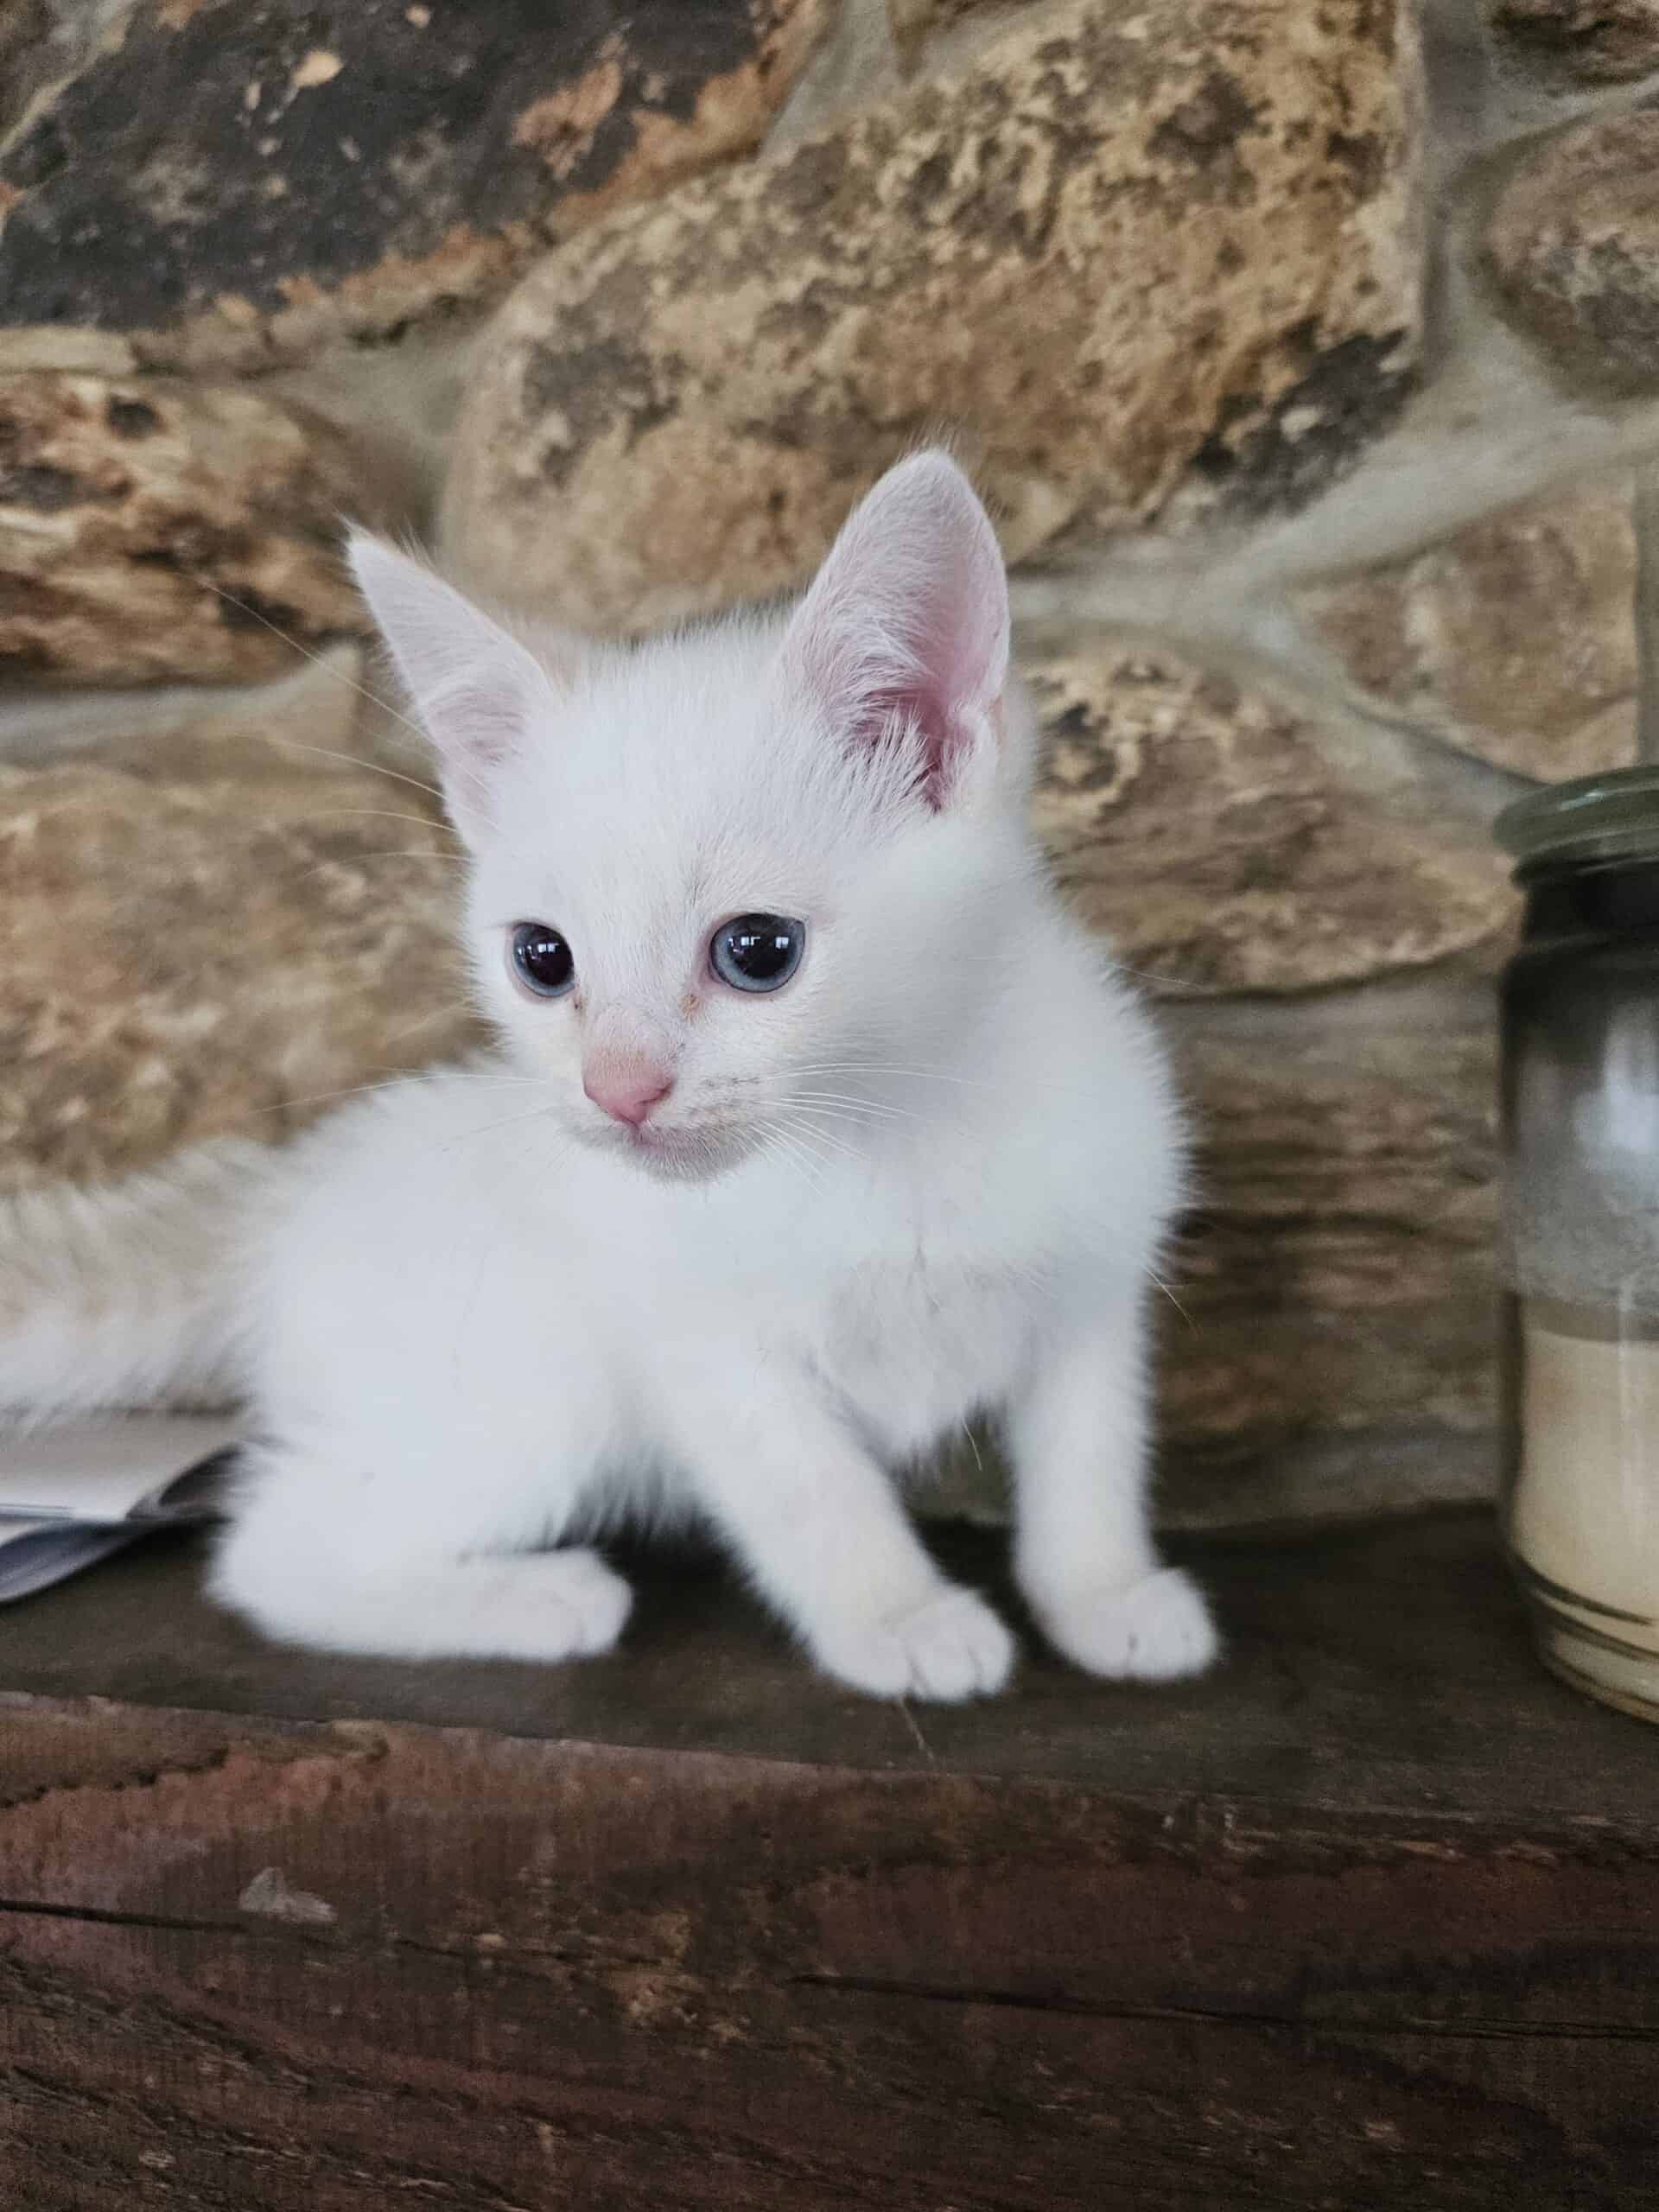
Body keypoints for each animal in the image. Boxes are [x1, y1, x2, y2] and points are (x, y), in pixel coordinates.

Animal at [0, 444, 1221, 1689]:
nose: (616, 1090)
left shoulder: (1097, 1286)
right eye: (543, 960)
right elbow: (813, 1491)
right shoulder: (700, 1348)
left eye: (757, 950)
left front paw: (1106, 1596)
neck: (892, 1133)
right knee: (272, 1552)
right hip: (518, 1400)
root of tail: (287, 1193)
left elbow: (1090, 1455)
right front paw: (899, 1621)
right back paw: (536, 1600)